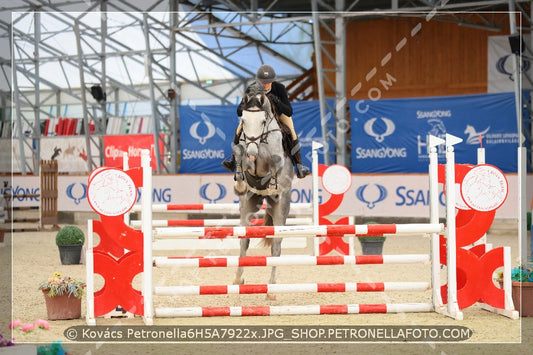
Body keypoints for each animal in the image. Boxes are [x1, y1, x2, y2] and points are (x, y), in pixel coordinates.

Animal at [232, 86, 294, 300]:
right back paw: (238, 280)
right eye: (243, 120)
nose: (252, 149)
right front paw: (240, 182)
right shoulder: (245, 156)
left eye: (261, 121)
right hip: (248, 204)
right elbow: (239, 155)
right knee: (244, 241)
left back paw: (272, 290)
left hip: (281, 207)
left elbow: (273, 160)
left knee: (276, 246)